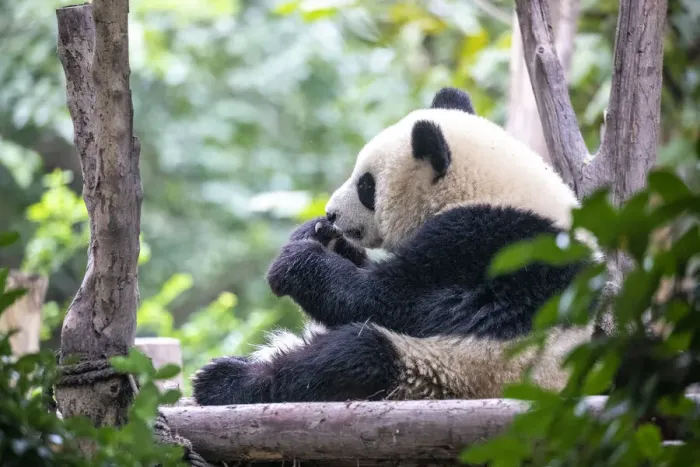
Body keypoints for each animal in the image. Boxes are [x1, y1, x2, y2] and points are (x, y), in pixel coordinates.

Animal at [192, 87, 601, 405]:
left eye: (366, 186)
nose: (331, 213)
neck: (491, 188)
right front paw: (319, 236)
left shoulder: (485, 243)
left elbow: (384, 300)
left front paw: (295, 260)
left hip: (451, 370)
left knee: (352, 357)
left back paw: (221, 380)